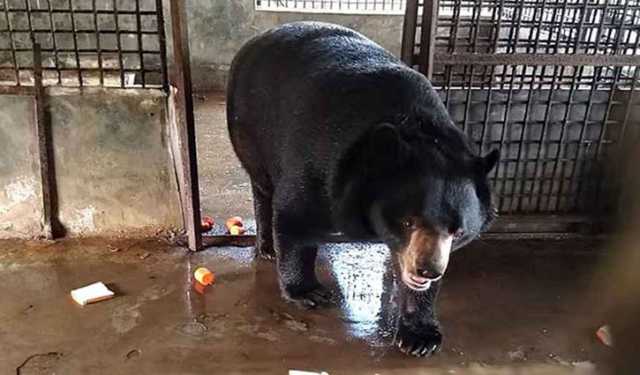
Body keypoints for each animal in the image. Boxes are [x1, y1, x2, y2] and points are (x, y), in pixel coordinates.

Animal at [226, 21, 500, 358]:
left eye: (458, 231)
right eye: (407, 221)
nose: (427, 271)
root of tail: (257, 39)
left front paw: (420, 336)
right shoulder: (320, 163)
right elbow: (293, 217)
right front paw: (309, 292)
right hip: (248, 125)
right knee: (263, 187)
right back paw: (267, 247)